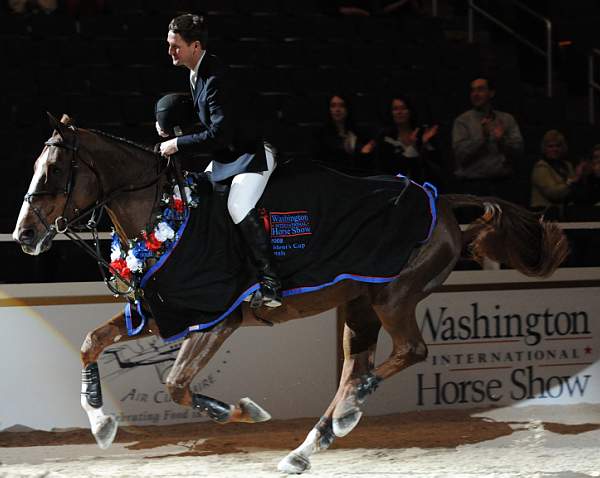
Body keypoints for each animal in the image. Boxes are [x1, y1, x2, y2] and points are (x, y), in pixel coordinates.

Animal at [12, 115, 568, 474]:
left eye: (54, 170)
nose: (24, 235)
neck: (166, 213)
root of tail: (438, 195)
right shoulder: (164, 312)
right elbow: (91, 343)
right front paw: (102, 423)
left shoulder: (217, 318)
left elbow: (175, 385)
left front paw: (243, 412)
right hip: (358, 306)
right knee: (354, 367)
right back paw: (310, 444)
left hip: (393, 295)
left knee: (406, 353)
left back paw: (349, 410)